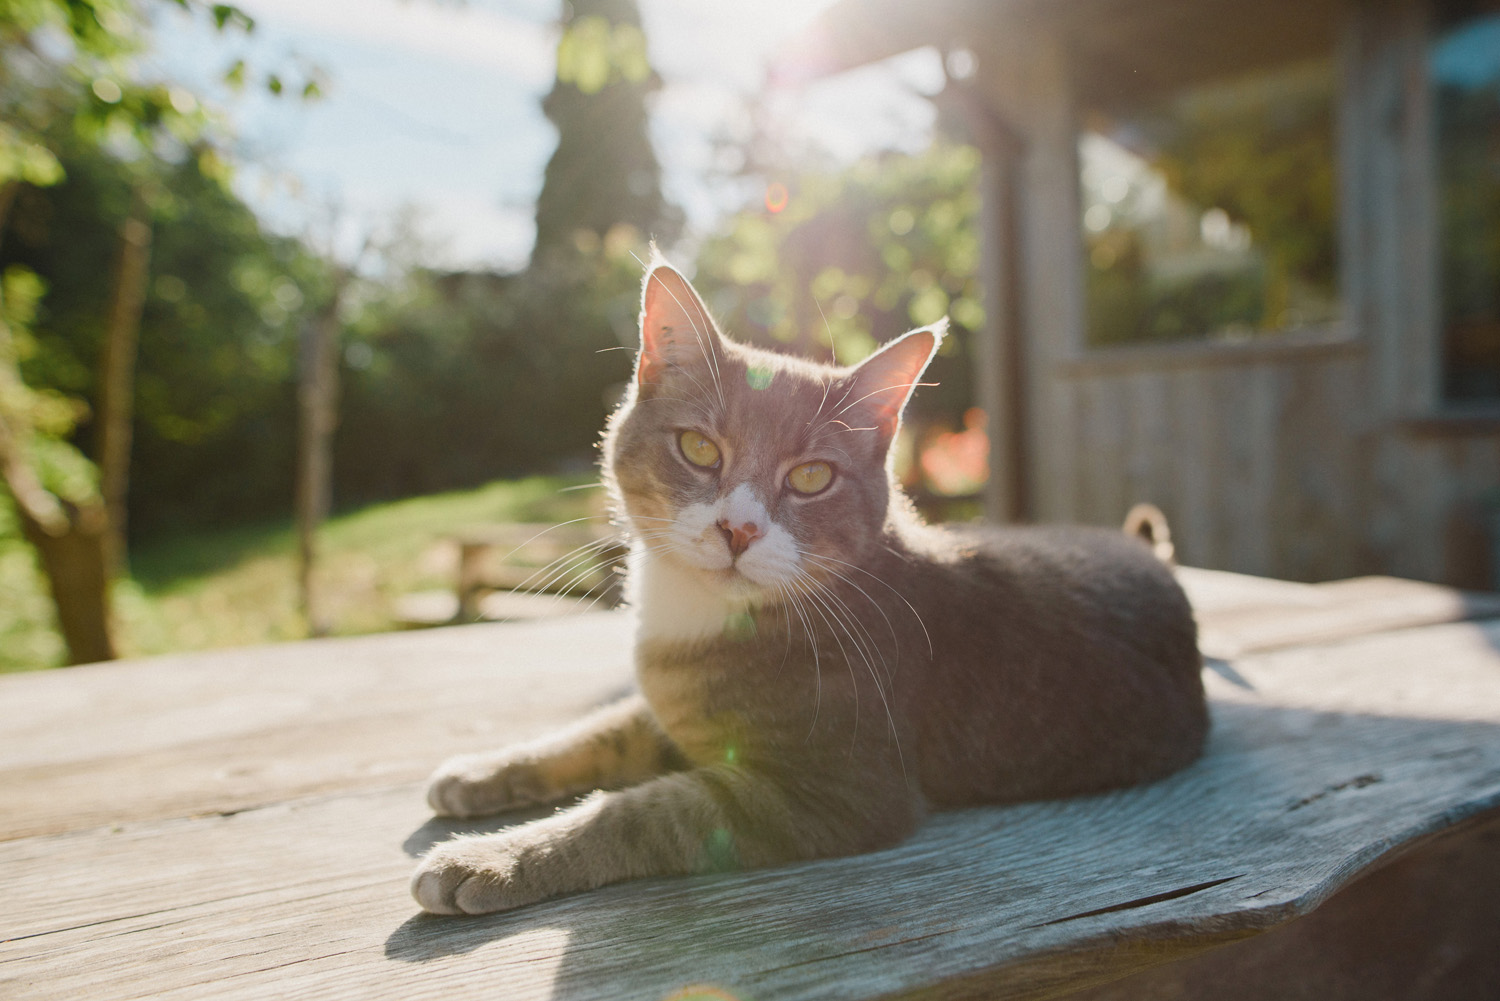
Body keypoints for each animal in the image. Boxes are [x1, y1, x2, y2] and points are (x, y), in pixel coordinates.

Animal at [411, 258, 1206, 918]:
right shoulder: (671, 711)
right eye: (698, 447)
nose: (738, 528)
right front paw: (485, 770)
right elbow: (603, 728)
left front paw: (497, 856)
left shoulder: (837, 793)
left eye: (812, 476)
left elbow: (644, 811)